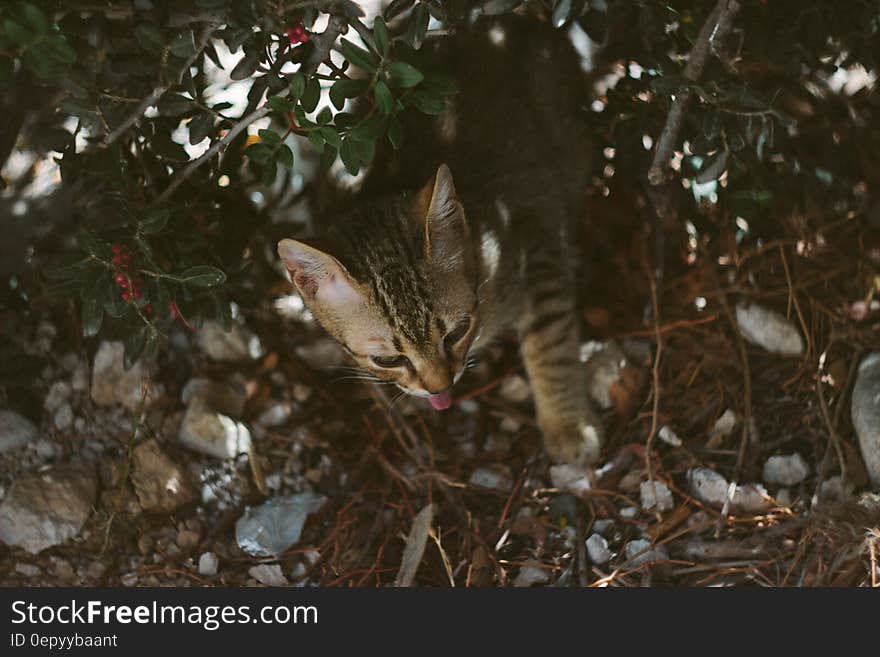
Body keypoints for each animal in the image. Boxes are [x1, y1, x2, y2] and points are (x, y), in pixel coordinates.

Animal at [278, 14, 600, 462]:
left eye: (457, 332)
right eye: (387, 359)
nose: (440, 387)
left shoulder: (537, 240)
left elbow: (549, 339)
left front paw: (566, 424)